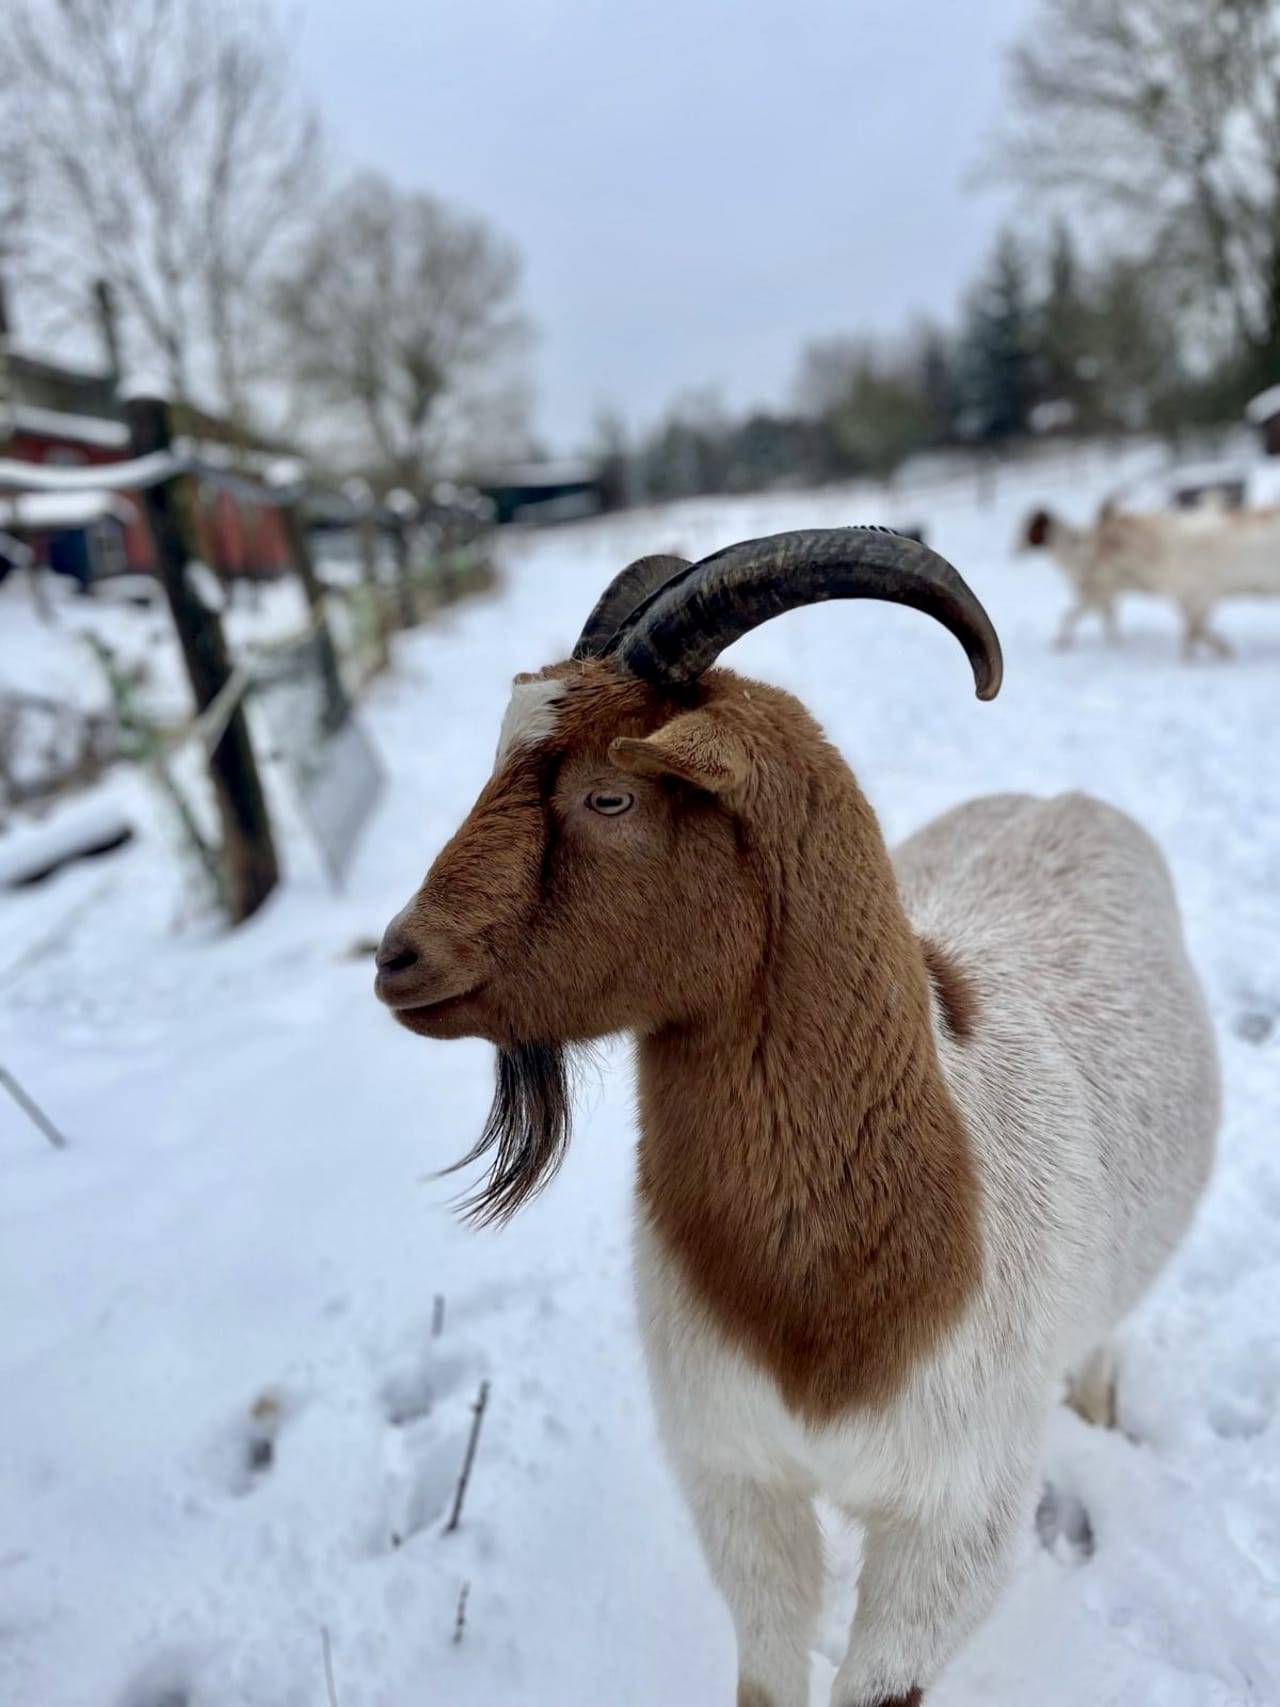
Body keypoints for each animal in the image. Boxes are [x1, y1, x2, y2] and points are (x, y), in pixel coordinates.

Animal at [375, 529, 1219, 1707]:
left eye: (609, 798)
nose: (398, 957)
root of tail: (1064, 799)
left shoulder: (953, 1519)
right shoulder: (739, 1480)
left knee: (1104, 1341)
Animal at [1022, 503, 1280, 656]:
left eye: (1108, 540)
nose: (1090, 555)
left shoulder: (1198, 597)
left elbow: (1193, 633)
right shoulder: (1191, 599)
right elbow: (1195, 631)